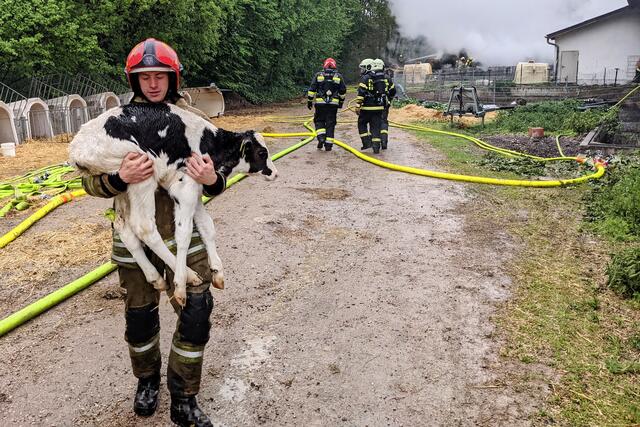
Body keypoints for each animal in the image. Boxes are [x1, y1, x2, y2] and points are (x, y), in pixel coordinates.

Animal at [69, 102, 276, 306]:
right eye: (261, 152)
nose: (275, 173)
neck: (208, 143)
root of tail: (78, 146)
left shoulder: (197, 188)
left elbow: (207, 227)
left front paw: (218, 272)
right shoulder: (184, 187)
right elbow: (183, 234)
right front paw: (180, 286)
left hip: (123, 187)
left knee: (124, 228)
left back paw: (155, 278)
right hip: (141, 174)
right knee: (143, 227)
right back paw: (189, 276)